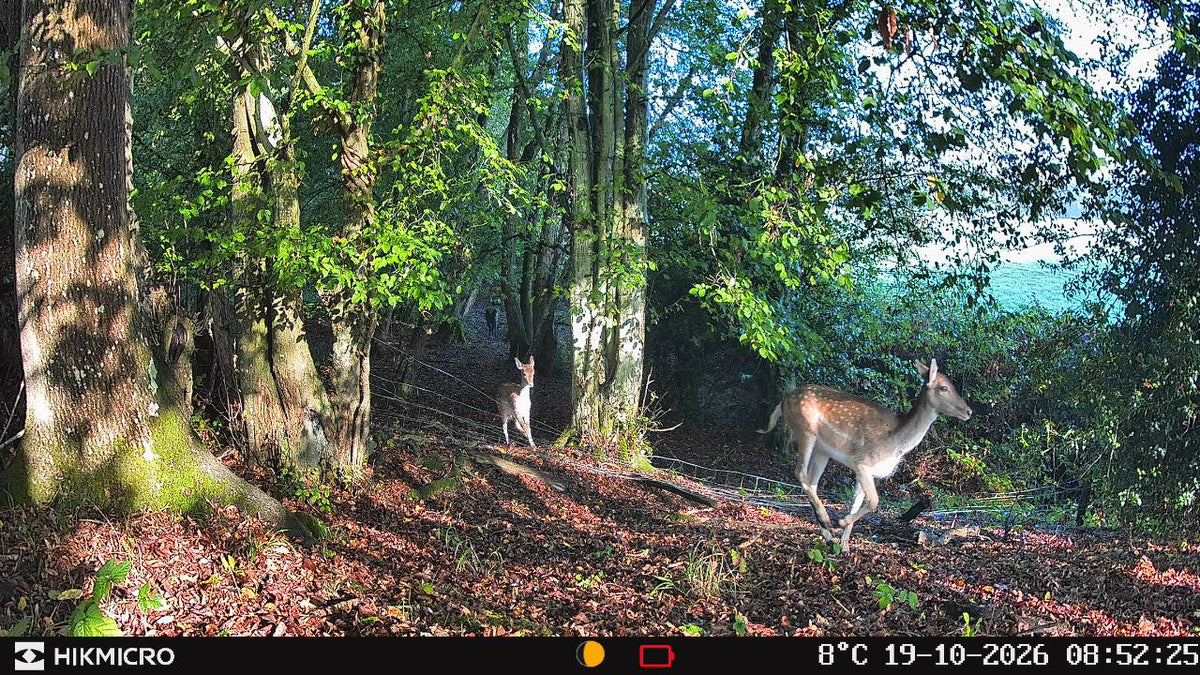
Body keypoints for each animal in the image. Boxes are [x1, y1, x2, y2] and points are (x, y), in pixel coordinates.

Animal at [760, 359, 972, 551]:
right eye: (943, 387)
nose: (969, 411)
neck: (896, 443)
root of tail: (783, 400)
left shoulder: (867, 471)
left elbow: (856, 502)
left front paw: (845, 546)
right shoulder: (861, 462)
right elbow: (875, 501)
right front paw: (841, 523)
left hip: (823, 451)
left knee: (812, 481)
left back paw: (828, 535)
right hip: (805, 430)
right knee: (800, 473)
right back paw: (826, 519)